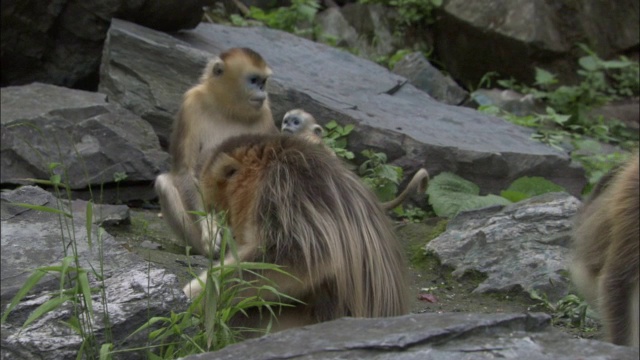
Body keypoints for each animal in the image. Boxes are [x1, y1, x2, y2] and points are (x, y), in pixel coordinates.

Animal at [155, 47, 278, 256]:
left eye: (263, 81)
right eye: (254, 80)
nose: (263, 91)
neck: (227, 108)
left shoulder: (266, 114)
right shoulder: (191, 103)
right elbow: (185, 170)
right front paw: (208, 225)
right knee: (164, 183)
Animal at [182, 132, 408, 334]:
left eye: (221, 210)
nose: (233, 234)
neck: (269, 161)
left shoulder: (283, 187)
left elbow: (298, 256)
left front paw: (196, 294)